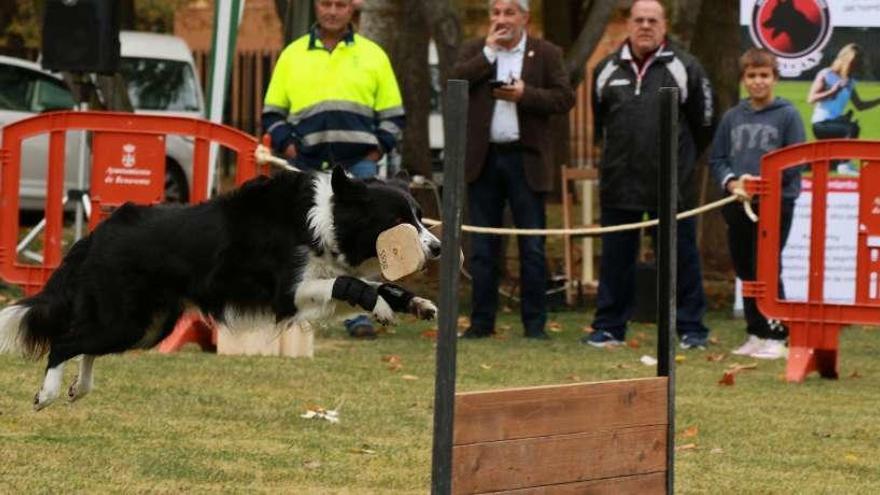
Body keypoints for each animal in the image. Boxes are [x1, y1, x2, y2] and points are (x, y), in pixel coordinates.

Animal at [0, 167, 440, 410]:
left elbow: (372, 284)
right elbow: (351, 283)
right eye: (399, 221)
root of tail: (95, 235)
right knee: (65, 341)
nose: (436, 248)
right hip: (125, 318)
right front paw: (380, 307)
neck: (323, 220)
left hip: (146, 326)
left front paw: (417, 303)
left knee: (86, 344)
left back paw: (79, 388)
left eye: (421, 217)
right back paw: (48, 394)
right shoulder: (287, 292)